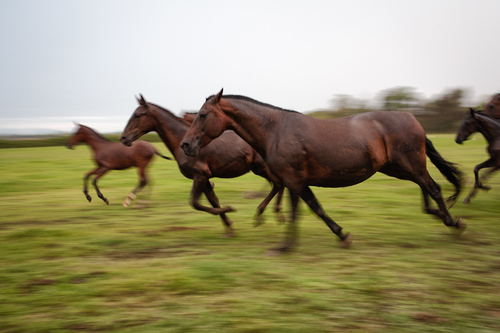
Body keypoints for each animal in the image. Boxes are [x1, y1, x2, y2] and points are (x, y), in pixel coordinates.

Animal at [119, 93, 286, 233]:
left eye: (137, 115)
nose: (123, 138)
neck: (181, 141)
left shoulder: (200, 175)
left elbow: (195, 203)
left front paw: (230, 209)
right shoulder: (204, 178)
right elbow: (213, 201)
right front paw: (229, 227)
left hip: (261, 168)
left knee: (279, 184)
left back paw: (267, 214)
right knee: (279, 185)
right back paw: (275, 214)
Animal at [182, 89, 466, 250]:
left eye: (203, 114)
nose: (185, 145)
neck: (275, 131)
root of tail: (412, 118)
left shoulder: (293, 180)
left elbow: (297, 212)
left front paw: (285, 246)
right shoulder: (298, 182)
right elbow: (316, 209)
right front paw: (343, 235)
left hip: (409, 164)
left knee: (434, 187)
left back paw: (453, 222)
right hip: (397, 168)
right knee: (426, 187)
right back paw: (440, 216)